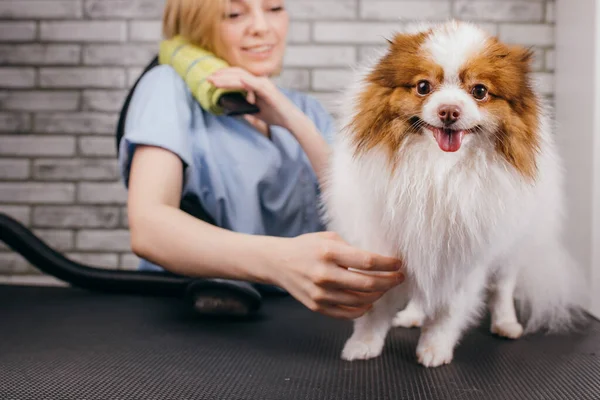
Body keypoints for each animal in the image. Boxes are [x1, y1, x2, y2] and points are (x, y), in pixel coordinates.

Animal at [324, 20, 584, 368]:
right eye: (423, 87)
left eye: (480, 91)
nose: (449, 111)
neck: (440, 170)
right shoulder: (389, 245)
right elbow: (377, 308)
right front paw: (363, 344)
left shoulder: (464, 255)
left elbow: (448, 311)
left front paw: (435, 348)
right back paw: (412, 315)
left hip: (513, 245)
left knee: (502, 287)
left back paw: (506, 323)